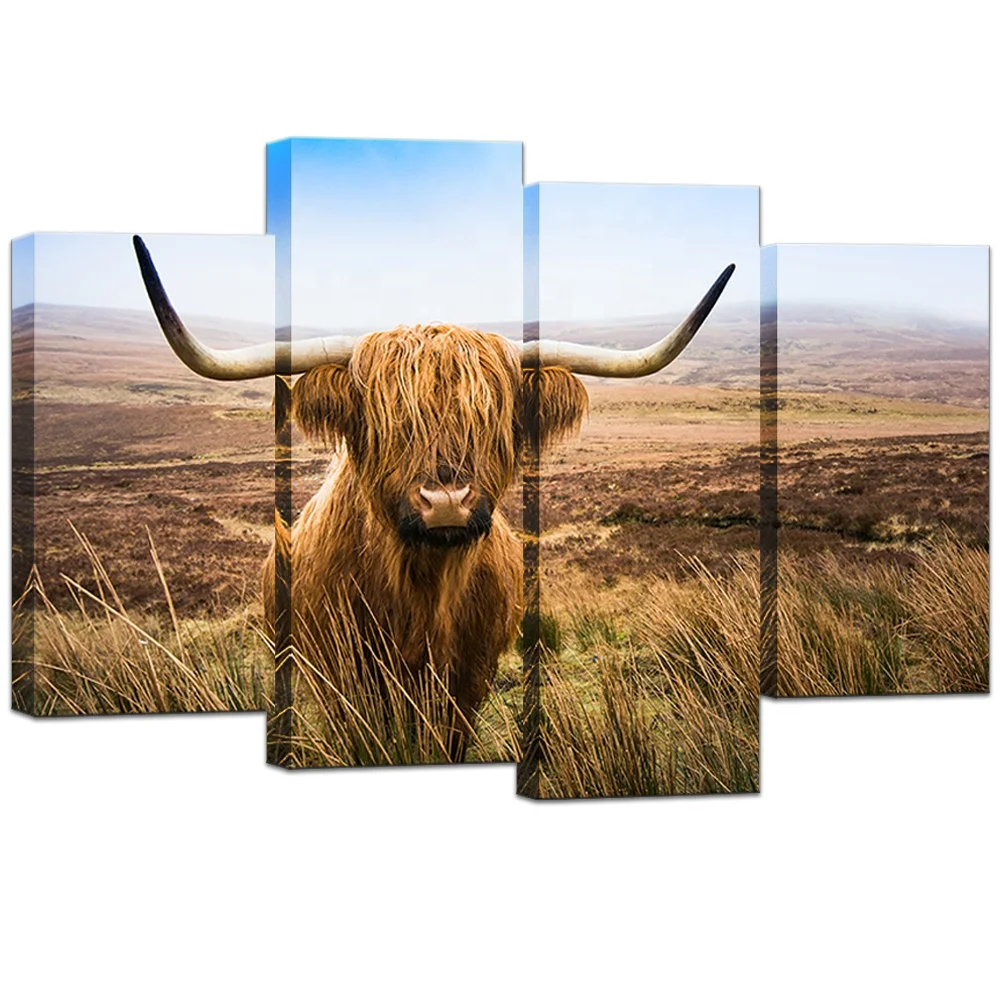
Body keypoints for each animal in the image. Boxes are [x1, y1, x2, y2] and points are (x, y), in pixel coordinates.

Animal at [133, 235, 734, 761]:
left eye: (492, 415)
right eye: (386, 419)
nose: (446, 500)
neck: (422, 593)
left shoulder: (470, 680)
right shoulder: (342, 679)